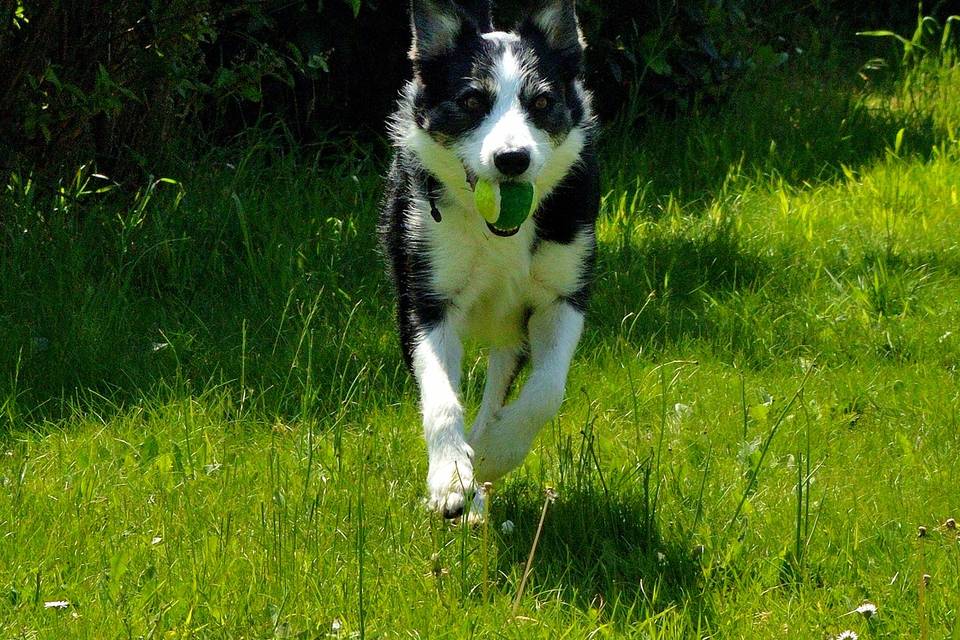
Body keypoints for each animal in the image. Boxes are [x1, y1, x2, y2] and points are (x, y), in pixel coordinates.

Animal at [378, 0, 596, 520]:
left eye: (542, 103)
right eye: (473, 102)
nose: (512, 158)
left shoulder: (563, 297)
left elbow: (546, 392)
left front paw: (495, 454)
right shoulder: (424, 300)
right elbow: (441, 399)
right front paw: (450, 477)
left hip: (511, 332)